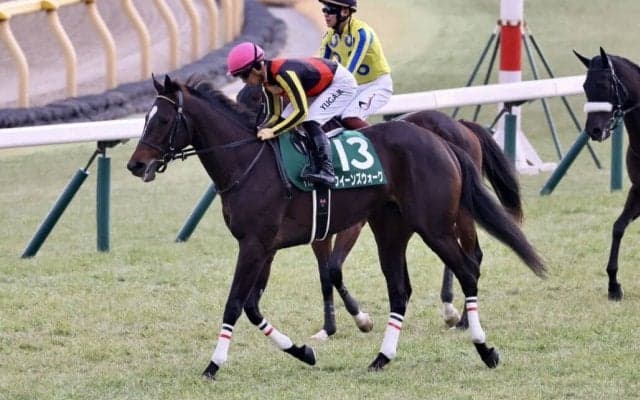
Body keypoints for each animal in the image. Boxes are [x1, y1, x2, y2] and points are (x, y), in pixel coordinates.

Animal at [236, 84, 523, 338]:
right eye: (238, 96)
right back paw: (451, 310)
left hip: (460, 208)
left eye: (256, 98)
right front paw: (328, 328)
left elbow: (334, 269)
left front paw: (362, 319)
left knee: (472, 255)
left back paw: (461, 318)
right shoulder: (320, 230)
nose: (252, 136)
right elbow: (325, 275)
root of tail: (462, 124)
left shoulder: (353, 224)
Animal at [575, 47, 640, 301]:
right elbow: (618, 227)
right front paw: (614, 285)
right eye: (585, 86)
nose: (594, 130)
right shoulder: (638, 190)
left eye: (603, 85)